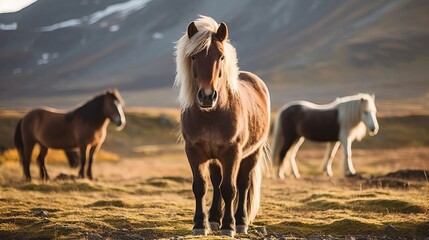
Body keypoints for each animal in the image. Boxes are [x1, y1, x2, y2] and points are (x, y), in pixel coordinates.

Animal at [173, 15, 268, 237]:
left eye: (222, 57)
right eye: (193, 57)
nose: (207, 96)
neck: (211, 116)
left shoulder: (232, 153)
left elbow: (229, 189)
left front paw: (229, 226)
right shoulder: (194, 151)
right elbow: (200, 186)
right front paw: (200, 224)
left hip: (253, 153)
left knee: (242, 184)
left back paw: (240, 221)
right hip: (216, 158)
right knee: (216, 183)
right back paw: (215, 219)